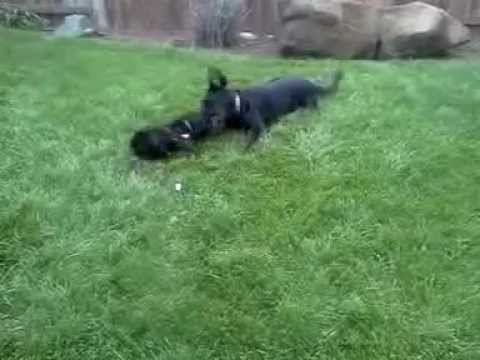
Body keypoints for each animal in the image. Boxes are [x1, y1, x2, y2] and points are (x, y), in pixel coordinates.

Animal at [201, 67, 344, 148]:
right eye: (203, 103)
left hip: (307, 105)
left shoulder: (257, 129)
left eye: (209, 102)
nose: (204, 118)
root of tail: (312, 84)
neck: (239, 104)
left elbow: (247, 145)